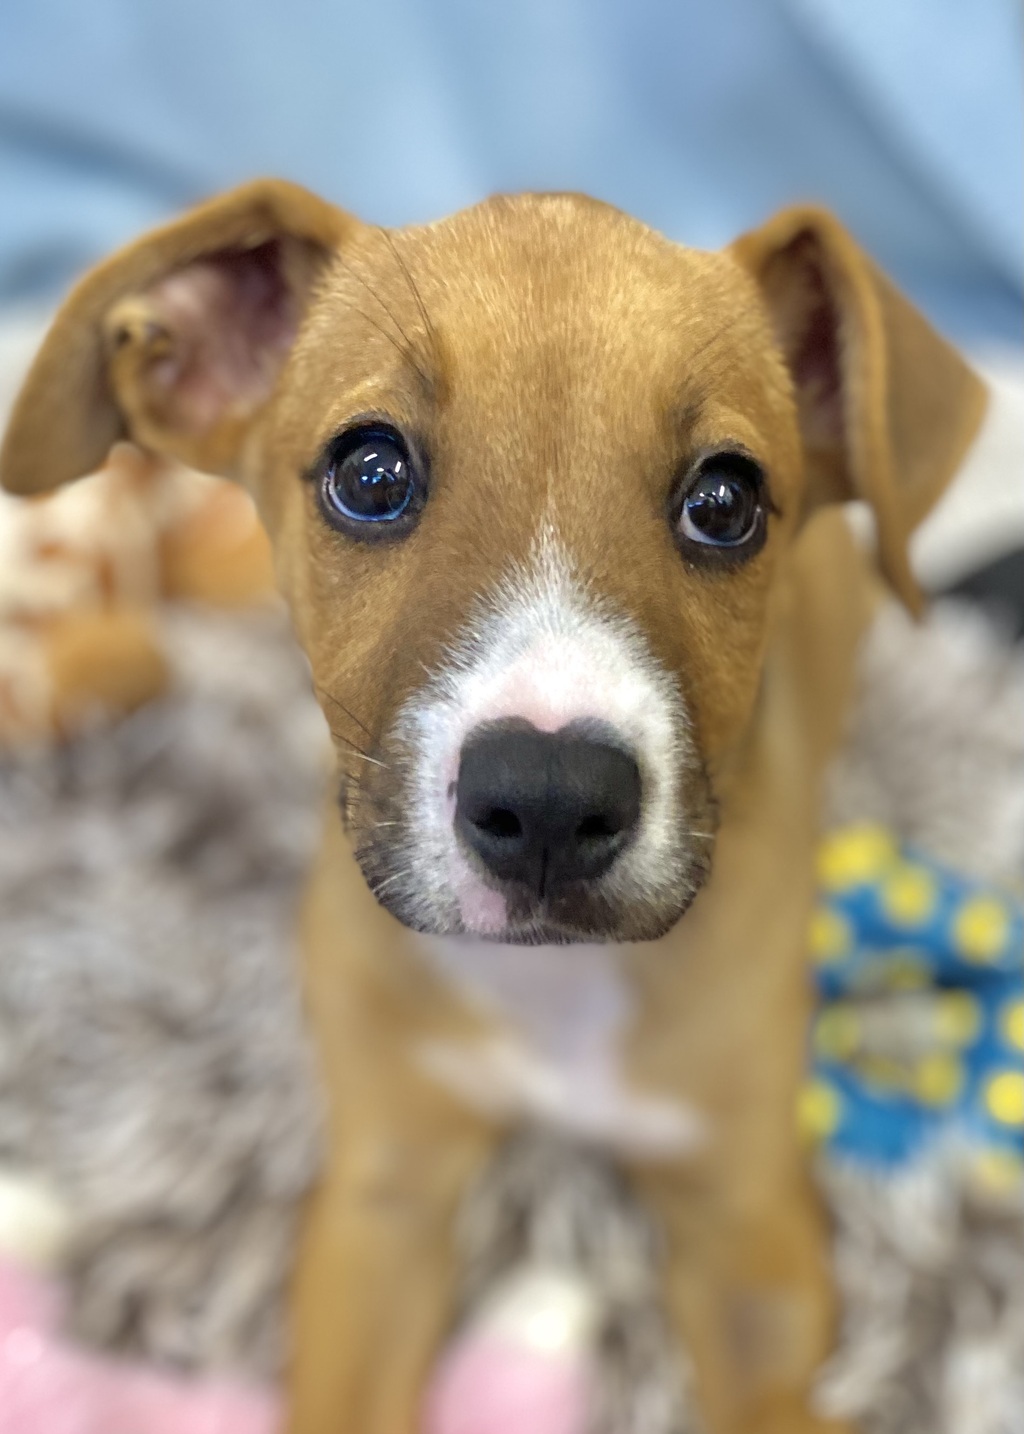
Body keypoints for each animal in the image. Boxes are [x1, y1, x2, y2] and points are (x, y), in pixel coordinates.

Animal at [0, 180, 986, 1433]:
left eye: (725, 501)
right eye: (370, 474)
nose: (551, 802)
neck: (550, 989)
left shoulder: (751, 1235)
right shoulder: (383, 1196)